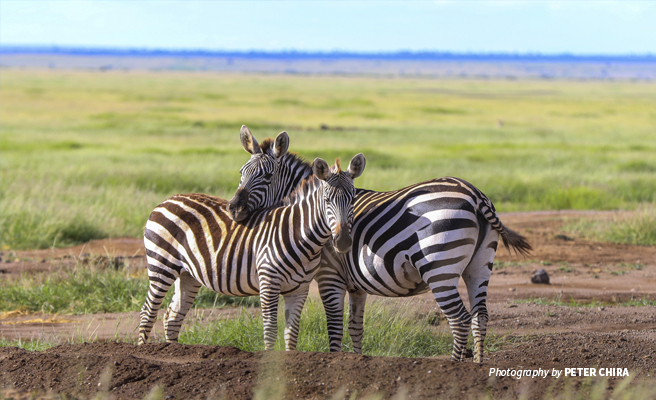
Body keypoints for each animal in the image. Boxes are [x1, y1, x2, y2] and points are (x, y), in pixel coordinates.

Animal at [138, 126, 366, 348]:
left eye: (353, 199)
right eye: (327, 200)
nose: (343, 241)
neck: (300, 234)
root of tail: (168, 199)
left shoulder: (299, 290)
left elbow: (291, 335)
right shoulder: (268, 284)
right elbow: (270, 332)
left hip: (188, 273)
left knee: (173, 316)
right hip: (162, 265)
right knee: (147, 312)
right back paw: (142, 350)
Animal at [228, 133, 532, 360]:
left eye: (267, 176)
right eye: (241, 172)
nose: (234, 209)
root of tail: (474, 193)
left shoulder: (329, 275)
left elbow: (335, 327)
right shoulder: (356, 284)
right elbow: (356, 327)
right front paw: (357, 360)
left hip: (440, 268)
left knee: (459, 319)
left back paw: (455, 368)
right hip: (479, 266)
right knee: (480, 317)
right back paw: (478, 368)